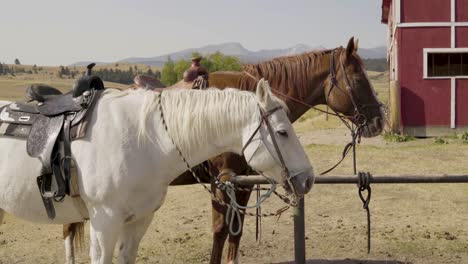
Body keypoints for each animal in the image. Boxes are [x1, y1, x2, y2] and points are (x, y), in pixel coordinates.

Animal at [63, 37, 384, 264]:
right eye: (358, 79)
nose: (379, 120)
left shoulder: (243, 183)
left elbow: (236, 228)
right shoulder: (223, 182)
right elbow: (221, 229)